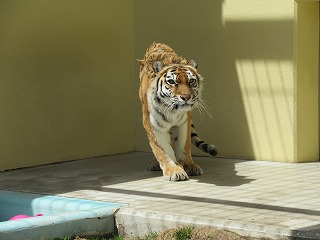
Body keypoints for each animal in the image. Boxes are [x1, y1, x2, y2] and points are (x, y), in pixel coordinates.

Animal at [138, 43, 218, 181]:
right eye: (172, 82)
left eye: (191, 81)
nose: (186, 97)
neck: (173, 112)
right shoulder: (153, 125)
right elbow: (162, 150)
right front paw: (174, 170)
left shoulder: (184, 123)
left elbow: (184, 146)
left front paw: (189, 165)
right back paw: (155, 163)